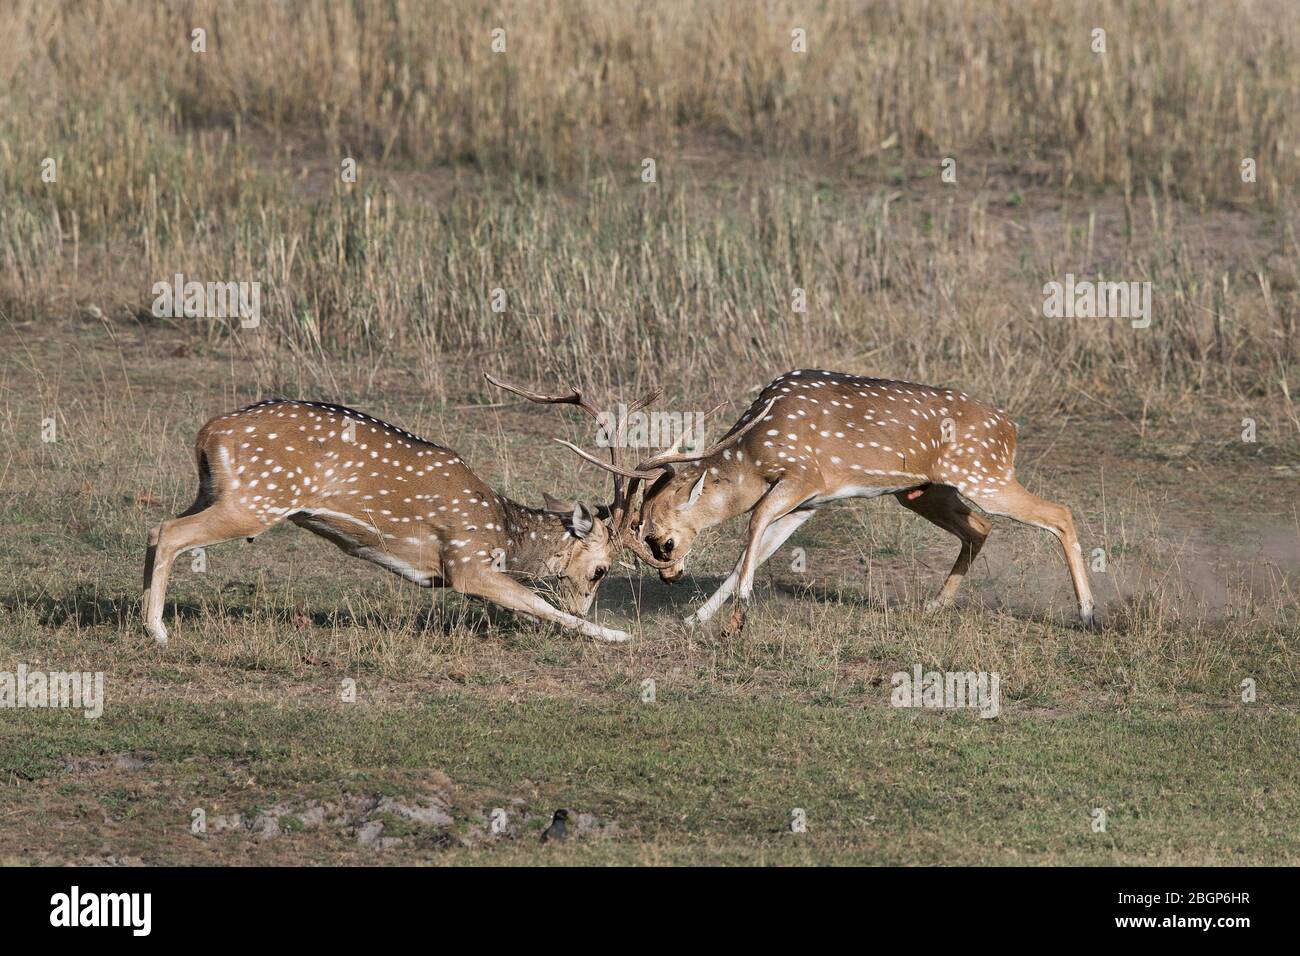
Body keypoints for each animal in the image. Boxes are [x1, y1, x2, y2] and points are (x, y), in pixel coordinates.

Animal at [141, 375, 663, 647]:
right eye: (600, 569)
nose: (583, 603)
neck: (505, 534)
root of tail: (208, 432)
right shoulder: (466, 560)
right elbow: (536, 603)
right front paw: (617, 635)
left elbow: (529, 607)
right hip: (257, 500)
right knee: (169, 532)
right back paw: (158, 630)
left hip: (214, 491)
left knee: (154, 530)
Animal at [562, 369, 1096, 635]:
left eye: (662, 540)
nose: (669, 577)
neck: (755, 452)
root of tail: (1011, 428)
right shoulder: (809, 502)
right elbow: (753, 550)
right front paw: (697, 618)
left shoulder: (804, 476)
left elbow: (752, 525)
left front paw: (739, 617)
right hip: (923, 491)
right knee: (981, 528)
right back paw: (934, 607)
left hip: (985, 475)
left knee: (1060, 513)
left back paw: (1088, 614)